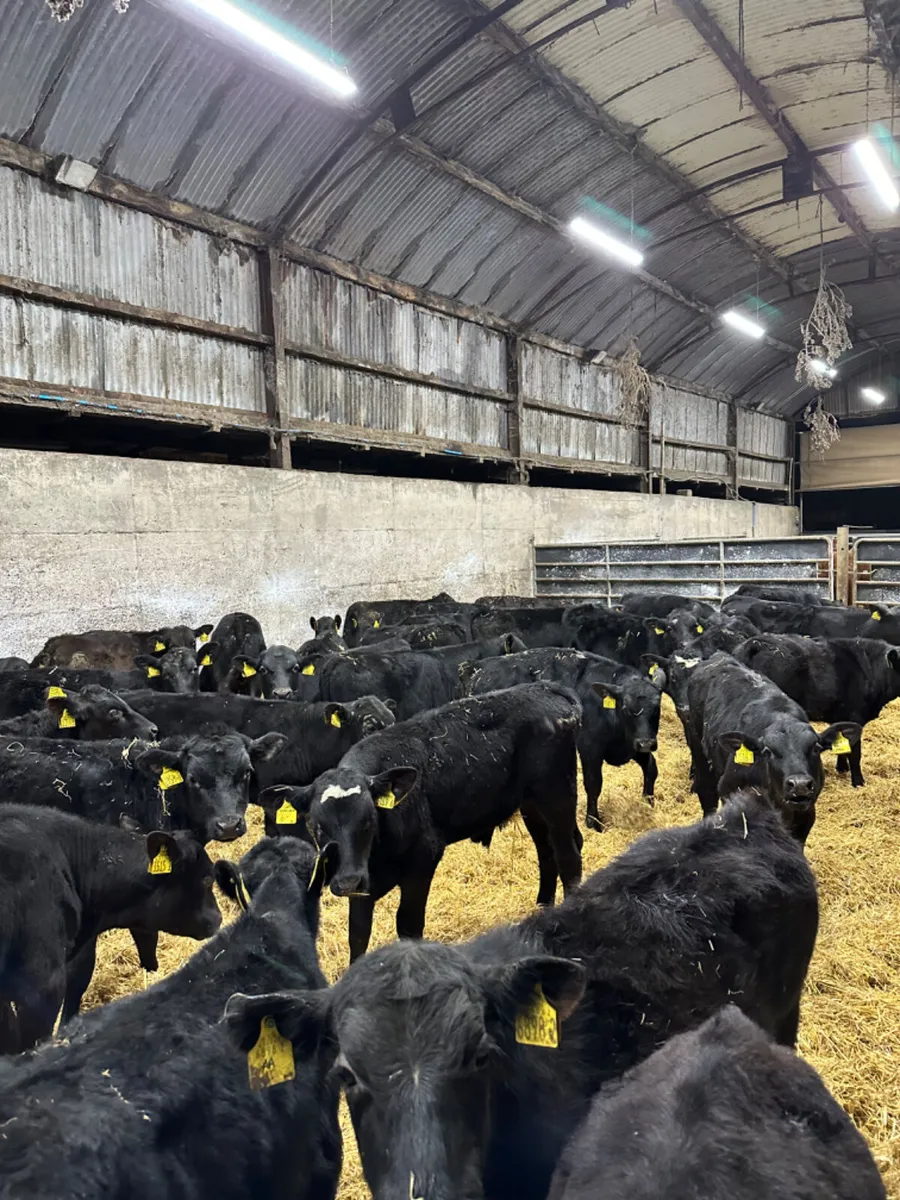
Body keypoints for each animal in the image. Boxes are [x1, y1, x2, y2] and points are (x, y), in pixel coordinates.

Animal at [257, 682, 584, 960]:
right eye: (317, 827)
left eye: (368, 820)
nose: (348, 881)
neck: (378, 855)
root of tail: (547, 687)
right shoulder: (362, 881)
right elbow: (358, 932)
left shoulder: (423, 859)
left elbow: (408, 925)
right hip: (531, 803)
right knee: (546, 852)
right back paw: (542, 909)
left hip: (557, 793)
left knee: (568, 855)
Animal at [463, 648, 665, 831]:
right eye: (626, 708)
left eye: (657, 707)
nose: (647, 743)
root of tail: (477, 668)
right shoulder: (589, 748)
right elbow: (593, 783)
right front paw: (593, 822)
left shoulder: (633, 743)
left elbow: (651, 768)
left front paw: (648, 804)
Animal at [685, 652, 861, 844]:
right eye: (768, 752)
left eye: (816, 748)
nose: (799, 785)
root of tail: (719, 657)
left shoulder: (806, 815)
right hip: (698, 748)